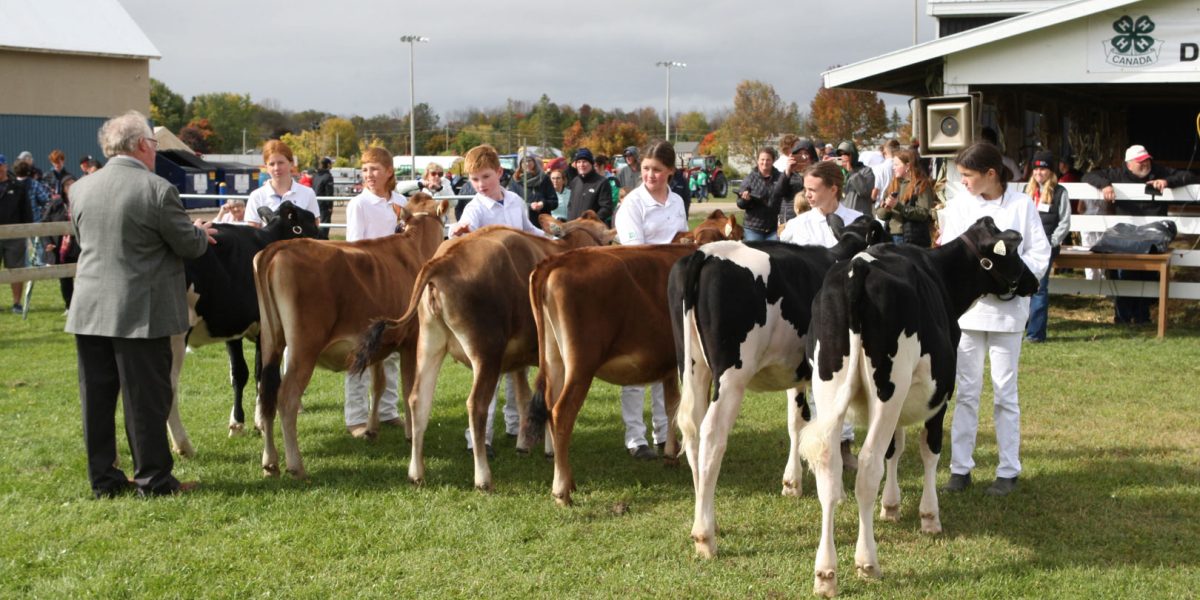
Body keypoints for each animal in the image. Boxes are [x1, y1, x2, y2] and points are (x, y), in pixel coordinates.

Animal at [166, 201, 324, 453]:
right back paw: (182, 445)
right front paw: (261, 422)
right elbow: (262, 372)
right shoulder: (264, 328)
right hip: (175, 335)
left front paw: (237, 424)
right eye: (312, 226)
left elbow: (239, 374)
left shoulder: (233, 327)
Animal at [254, 199, 451, 480]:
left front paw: (371, 429)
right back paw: (296, 465)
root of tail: (277, 247)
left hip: (271, 341)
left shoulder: (379, 344)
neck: (414, 248)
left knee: (266, 394)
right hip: (304, 347)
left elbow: (378, 386)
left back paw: (270, 463)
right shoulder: (411, 342)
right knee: (286, 397)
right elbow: (407, 386)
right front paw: (410, 435)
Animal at [345, 213, 609, 489]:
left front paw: (523, 444)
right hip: (486, 352)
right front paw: (549, 450)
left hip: (429, 344)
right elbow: (547, 398)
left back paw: (416, 473)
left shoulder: (520, 359)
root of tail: (444, 259)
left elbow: (524, 397)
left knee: (418, 399)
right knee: (476, 404)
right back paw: (483, 477)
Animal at [667, 217, 883, 561]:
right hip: (731, 376)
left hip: (691, 367)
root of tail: (703, 254)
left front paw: (792, 483)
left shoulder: (796, 372)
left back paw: (705, 517)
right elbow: (823, 427)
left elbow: (797, 422)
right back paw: (705, 537)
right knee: (712, 433)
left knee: (692, 432)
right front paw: (834, 489)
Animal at [801, 218, 1046, 597]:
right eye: (1013, 253)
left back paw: (825, 573)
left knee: (829, 466)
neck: (939, 274)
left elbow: (895, 448)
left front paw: (891, 506)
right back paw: (867, 562)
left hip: (831, 387)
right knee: (868, 466)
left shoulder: (900, 401)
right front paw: (930, 517)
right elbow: (929, 450)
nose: (1033, 282)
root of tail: (857, 270)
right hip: (887, 389)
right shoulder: (939, 396)